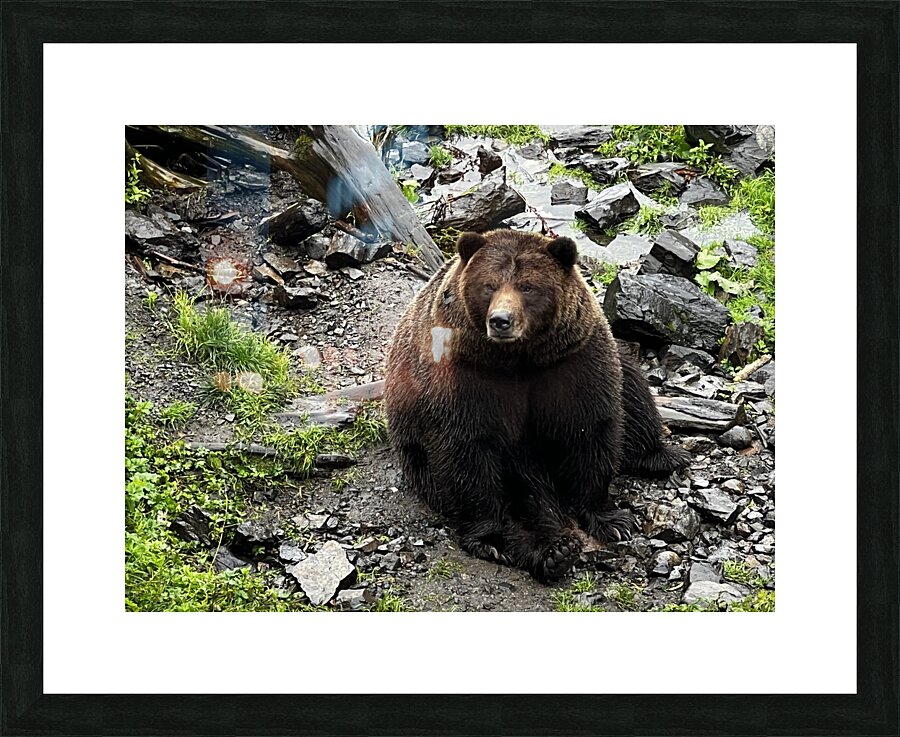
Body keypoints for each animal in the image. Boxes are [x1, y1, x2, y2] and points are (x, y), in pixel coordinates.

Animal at [384, 229, 690, 582]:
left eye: (527, 286)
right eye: (489, 285)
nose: (501, 320)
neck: (518, 359)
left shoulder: (572, 363)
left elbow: (590, 429)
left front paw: (612, 520)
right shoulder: (464, 378)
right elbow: (468, 452)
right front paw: (493, 539)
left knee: (636, 395)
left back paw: (662, 455)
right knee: (522, 494)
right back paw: (554, 551)